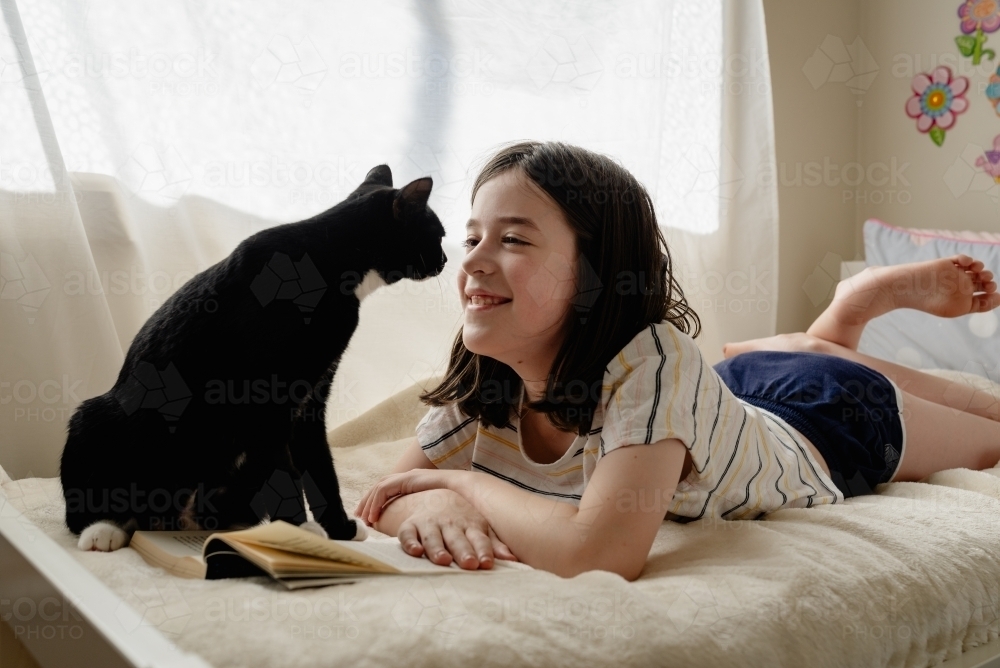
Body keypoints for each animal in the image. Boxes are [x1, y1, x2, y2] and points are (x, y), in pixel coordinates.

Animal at [61, 164, 446, 552]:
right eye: (439, 235)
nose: (445, 260)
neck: (333, 262)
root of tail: (175, 516)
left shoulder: (311, 398)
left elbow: (321, 467)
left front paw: (339, 529)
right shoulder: (267, 399)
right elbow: (287, 470)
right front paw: (299, 532)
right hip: (94, 419)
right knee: (90, 509)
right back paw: (104, 529)